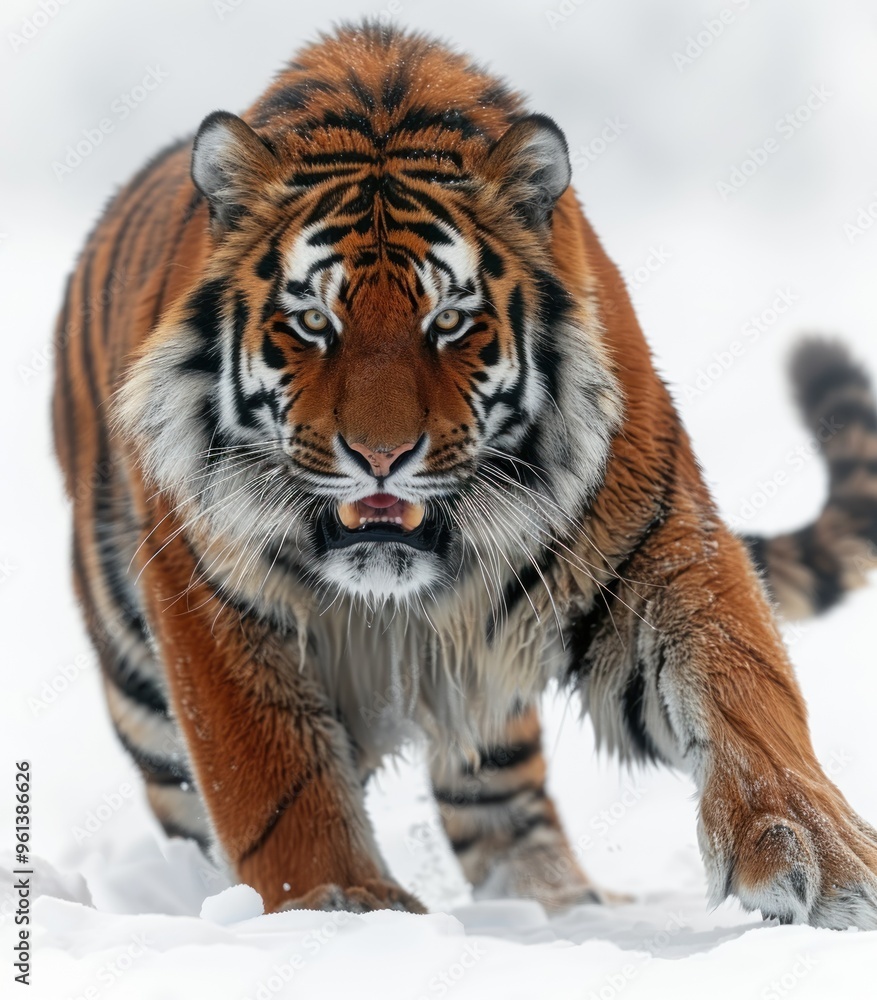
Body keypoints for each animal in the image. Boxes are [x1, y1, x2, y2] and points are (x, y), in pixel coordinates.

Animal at [52, 21, 877, 926]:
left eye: (448, 321)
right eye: (314, 321)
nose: (380, 456)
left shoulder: (654, 537)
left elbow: (740, 684)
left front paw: (819, 859)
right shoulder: (208, 587)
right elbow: (274, 779)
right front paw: (340, 902)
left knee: (502, 799)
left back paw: (560, 902)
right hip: (137, 689)